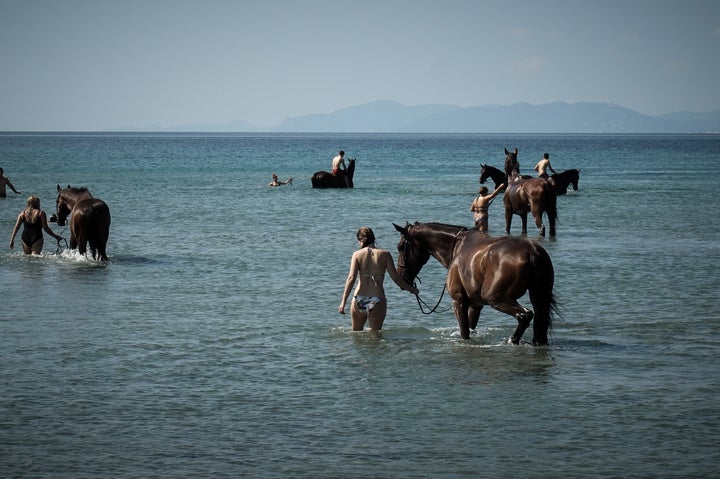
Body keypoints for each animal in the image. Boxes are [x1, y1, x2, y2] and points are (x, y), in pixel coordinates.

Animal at [394, 221, 556, 344]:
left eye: (400, 247)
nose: (401, 277)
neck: (457, 246)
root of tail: (531, 250)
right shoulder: (476, 305)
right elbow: (471, 328)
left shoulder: (458, 301)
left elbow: (464, 332)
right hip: (538, 298)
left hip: (496, 298)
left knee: (525, 315)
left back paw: (512, 340)